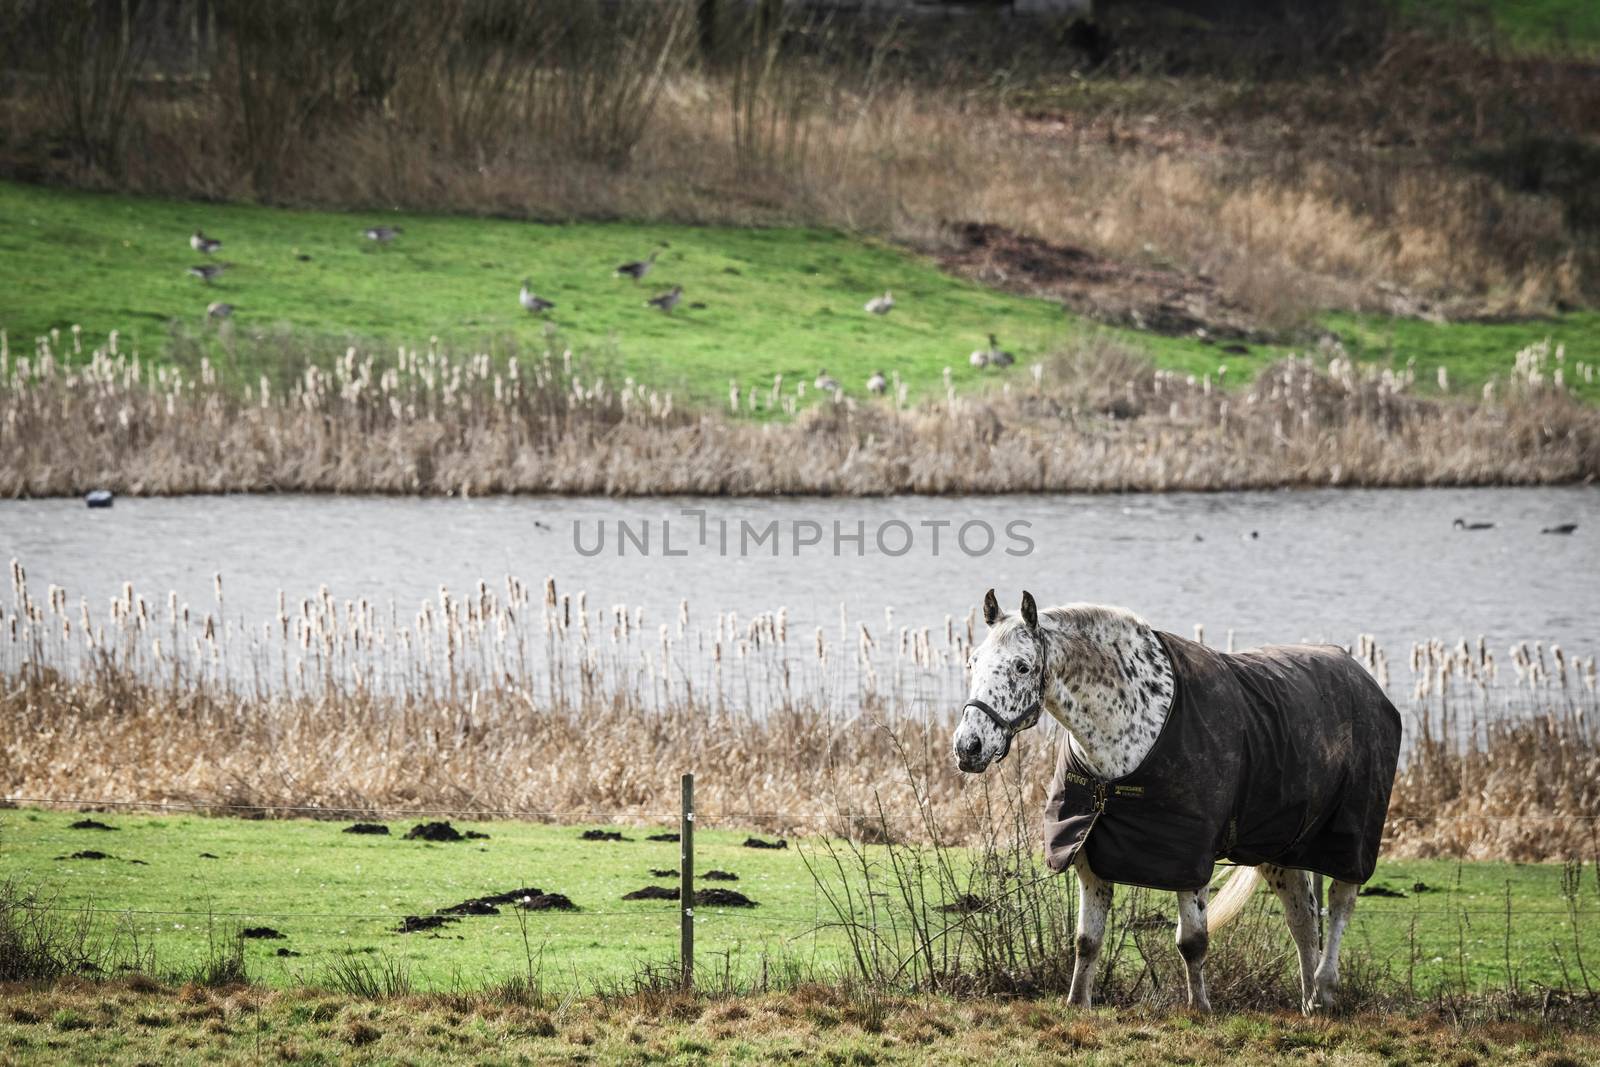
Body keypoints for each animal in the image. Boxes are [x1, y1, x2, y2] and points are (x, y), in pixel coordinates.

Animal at [947, 591, 1401, 1017]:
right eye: (972, 663)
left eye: (1022, 666)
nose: (969, 747)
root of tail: (1362, 677)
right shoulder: (1089, 855)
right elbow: (1087, 940)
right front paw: (1077, 1004)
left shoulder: (1189, 858)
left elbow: (1193, 942)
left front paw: (1199, 1009)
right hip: (1281, 849)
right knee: (1303, 919)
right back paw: (1311, 1004)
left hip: (1347, 844)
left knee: (1339, 905)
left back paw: (1325, 987)